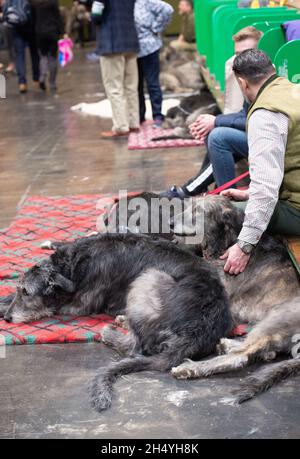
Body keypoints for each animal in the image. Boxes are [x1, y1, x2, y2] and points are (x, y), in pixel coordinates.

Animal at [0, 234, 232, 414]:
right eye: (19, 289)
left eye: (27, 292)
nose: (8, 319)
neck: (73, 266)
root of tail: (201, 329)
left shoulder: (78, 305)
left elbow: (54, 307)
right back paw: (122, 320)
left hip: (148, 277)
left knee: (134, 346)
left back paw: (110, 331)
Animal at [101, 192, 300, 400]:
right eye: (188, 206)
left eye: (199, 211)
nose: (170, 223)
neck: (227, 242)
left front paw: (124, 319)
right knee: (261, 351)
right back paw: (228, 344)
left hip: (277, 319)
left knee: (241, 356)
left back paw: (191, 368)